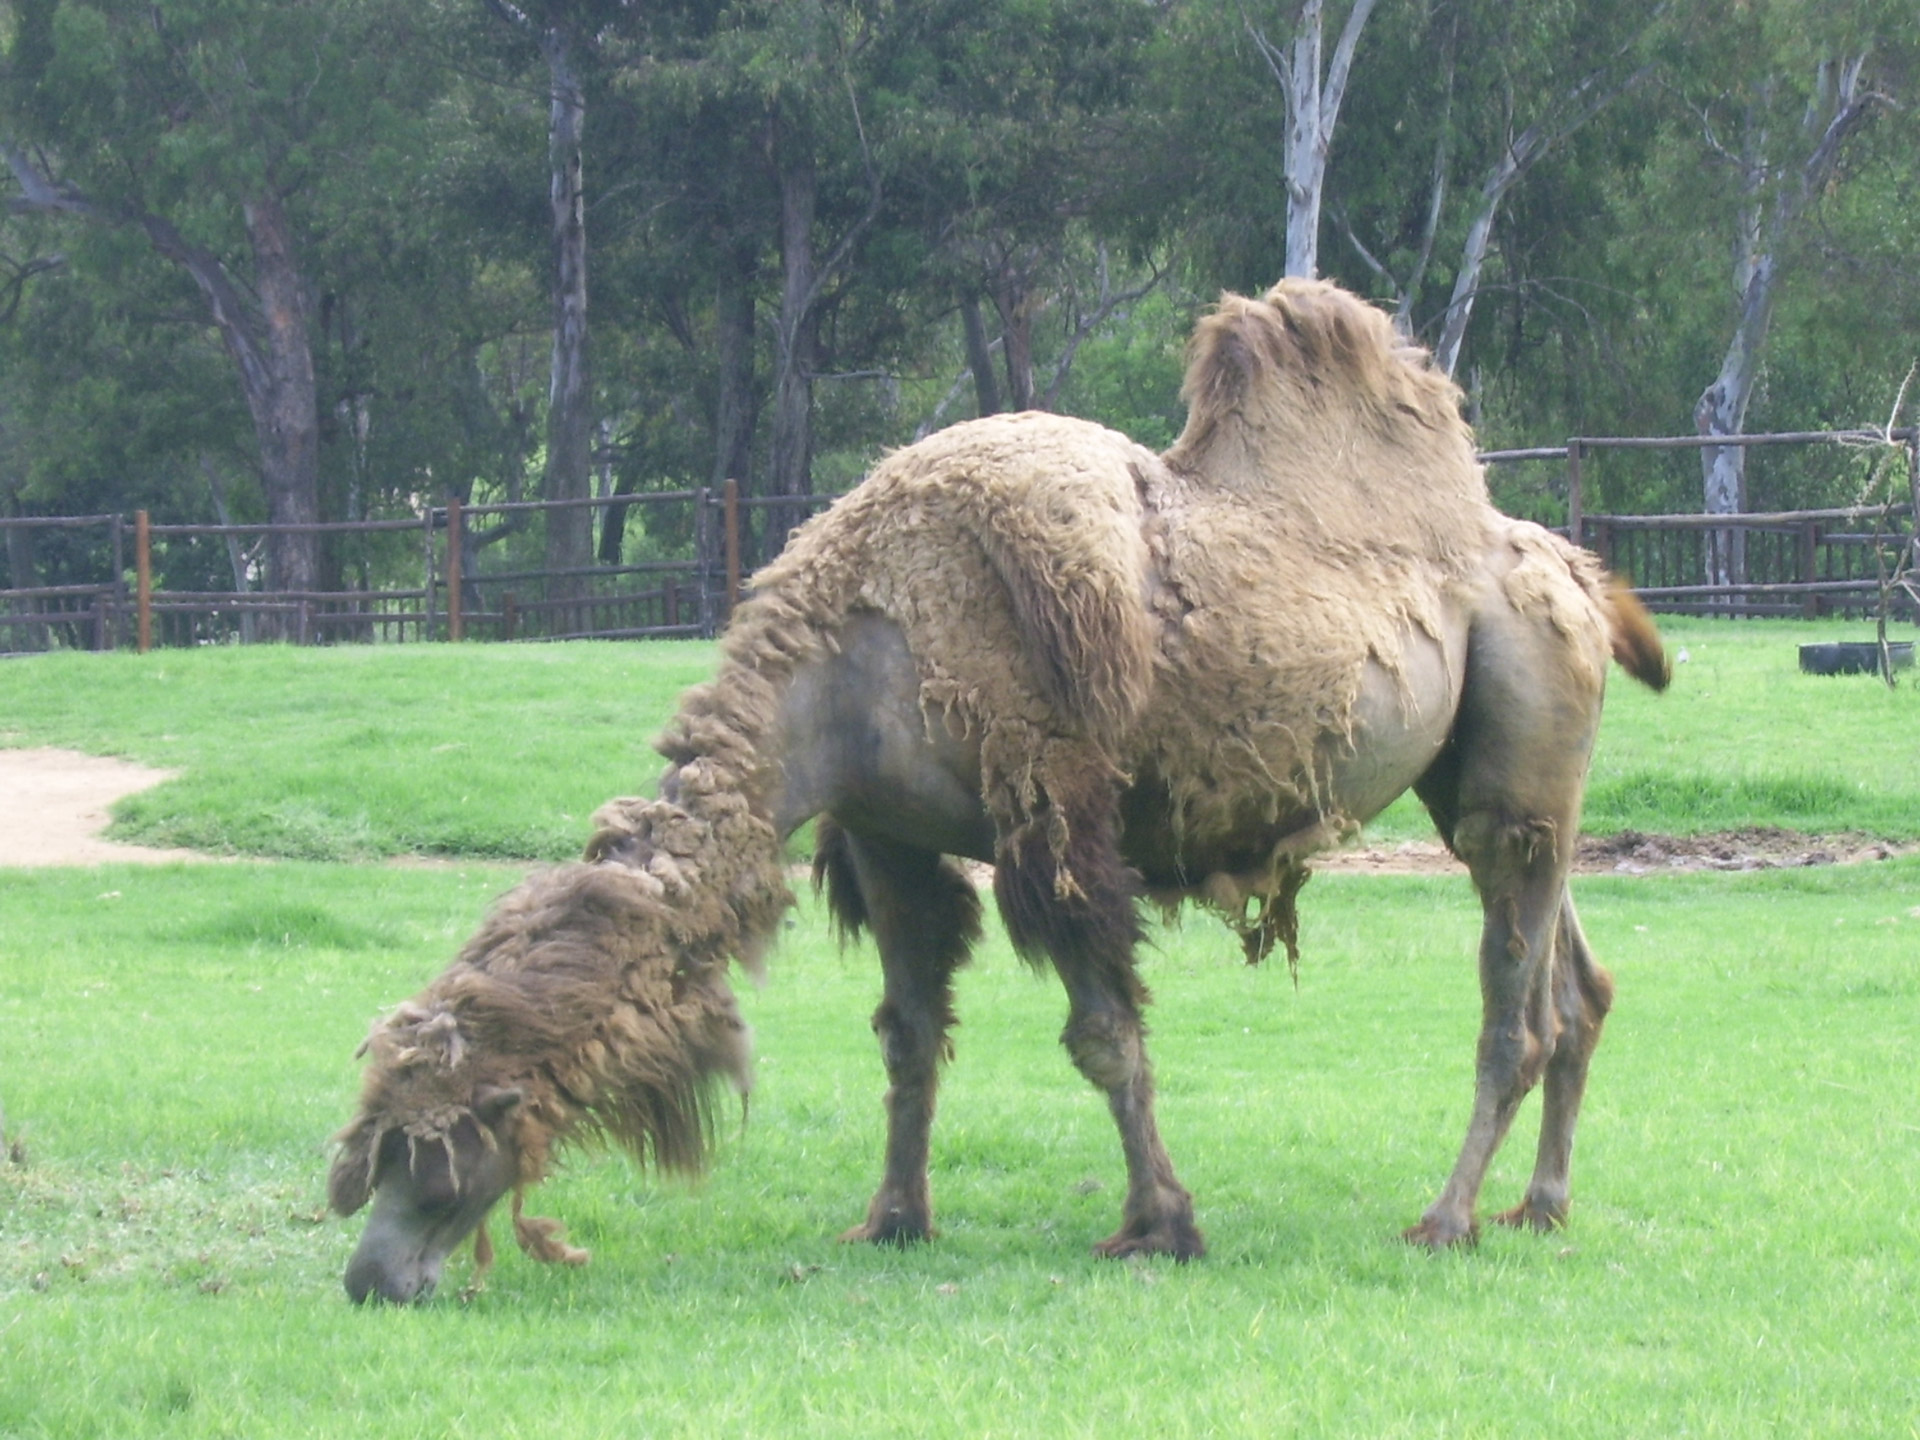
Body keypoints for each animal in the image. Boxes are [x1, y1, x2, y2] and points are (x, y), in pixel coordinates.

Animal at [326, 278, 1666, 1305]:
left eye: (429, 1144)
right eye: (376, 1128)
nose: (370, 1276)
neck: (860, 652)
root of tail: (1570, 565)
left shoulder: (1053, 815)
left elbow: (1104, 1038)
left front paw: (1162, 1225)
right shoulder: (890, 836)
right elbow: (910, 1032)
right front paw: (891, 1218)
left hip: (1518, 738)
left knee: (1515, 1011)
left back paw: (1445, 1218)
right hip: (1492, 785)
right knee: (1579, 981)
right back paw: (1541, 1206)